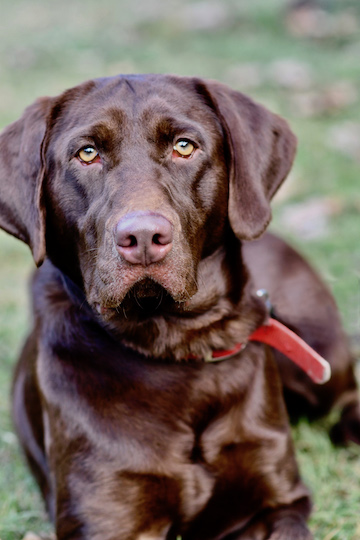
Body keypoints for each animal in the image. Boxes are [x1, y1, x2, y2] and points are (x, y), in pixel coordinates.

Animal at [1, 75, 358, 540]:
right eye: (87, 153)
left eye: (184, 146)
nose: (142, 237)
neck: (177, 344)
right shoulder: (108, 517)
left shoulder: (279, 500)